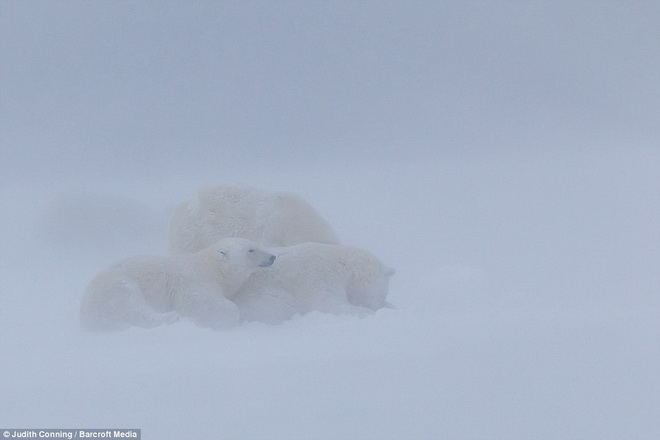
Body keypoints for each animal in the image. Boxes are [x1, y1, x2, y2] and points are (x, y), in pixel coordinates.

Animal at [80, 237, 276, 330]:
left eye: (256, 245)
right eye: (251, 250)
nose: (272, 257)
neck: (213, 267)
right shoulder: (195, 279)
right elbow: (198, 301)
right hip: (115, 287)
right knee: (134, 305)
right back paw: (170, 317)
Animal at [233, 242, 394, 324]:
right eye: (382, 293)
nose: (376, 307)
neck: (343, 265)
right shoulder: (320, 275)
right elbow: (325, 304)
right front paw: (368, 314)